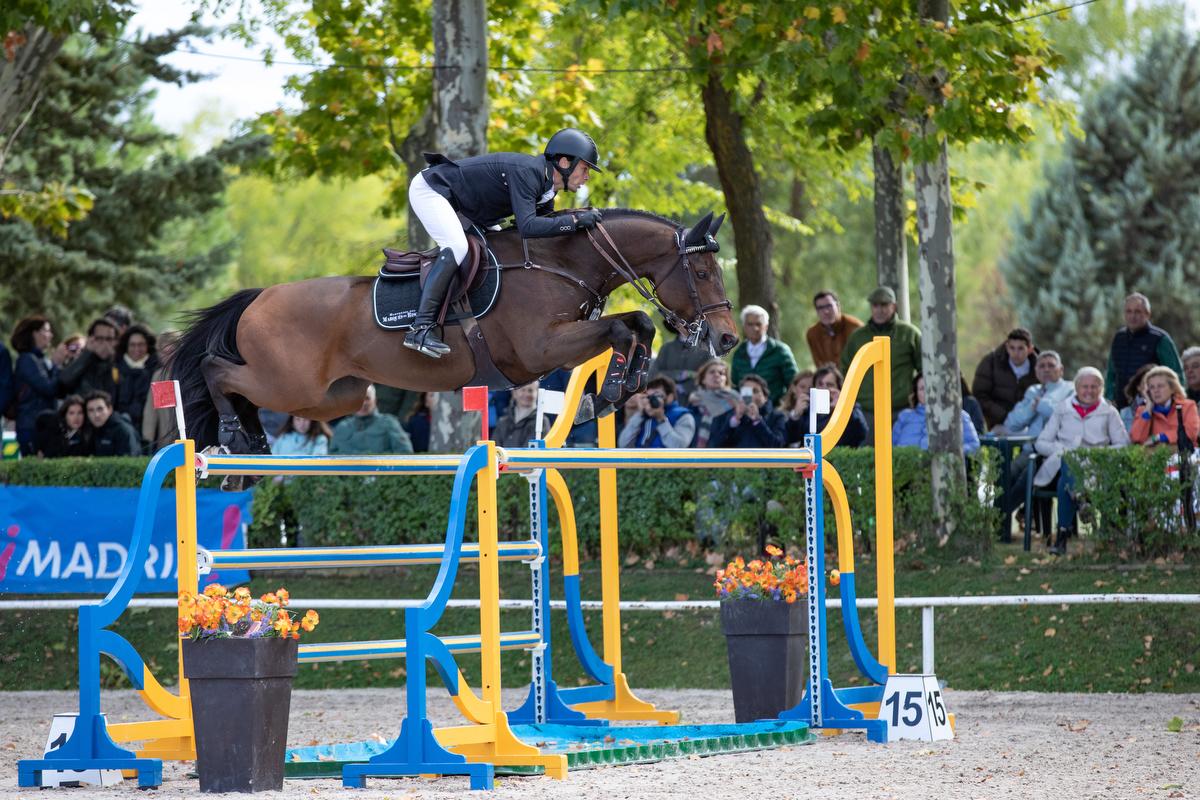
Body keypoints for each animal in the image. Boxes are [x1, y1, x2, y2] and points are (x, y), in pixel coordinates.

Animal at [164, 206, 734, 472]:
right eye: (704, 272)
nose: (727, 339)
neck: (561, 262)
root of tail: (258, 297)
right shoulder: (540, 349)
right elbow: (622, 325)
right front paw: (611, 392)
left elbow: (637, 324)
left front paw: (621, 387)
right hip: (290, 383)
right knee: (217, 370)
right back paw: (233, 436)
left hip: (331, 397)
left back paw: (250, 446)